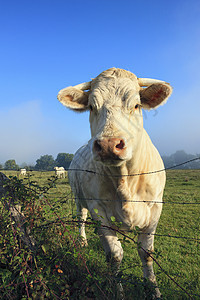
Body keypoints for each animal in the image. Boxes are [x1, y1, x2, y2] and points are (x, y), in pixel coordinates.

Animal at [57, 67, 173, 298]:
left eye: (136, 105)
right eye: (92, 106)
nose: (109, 144)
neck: (125, 180)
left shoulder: (156, 207)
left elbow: (146, 253)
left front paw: (154, 290)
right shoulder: (98, 208)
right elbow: (114, 255)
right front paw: (118, 291)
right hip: (78, 197)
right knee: (82, 218)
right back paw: (83, 240)